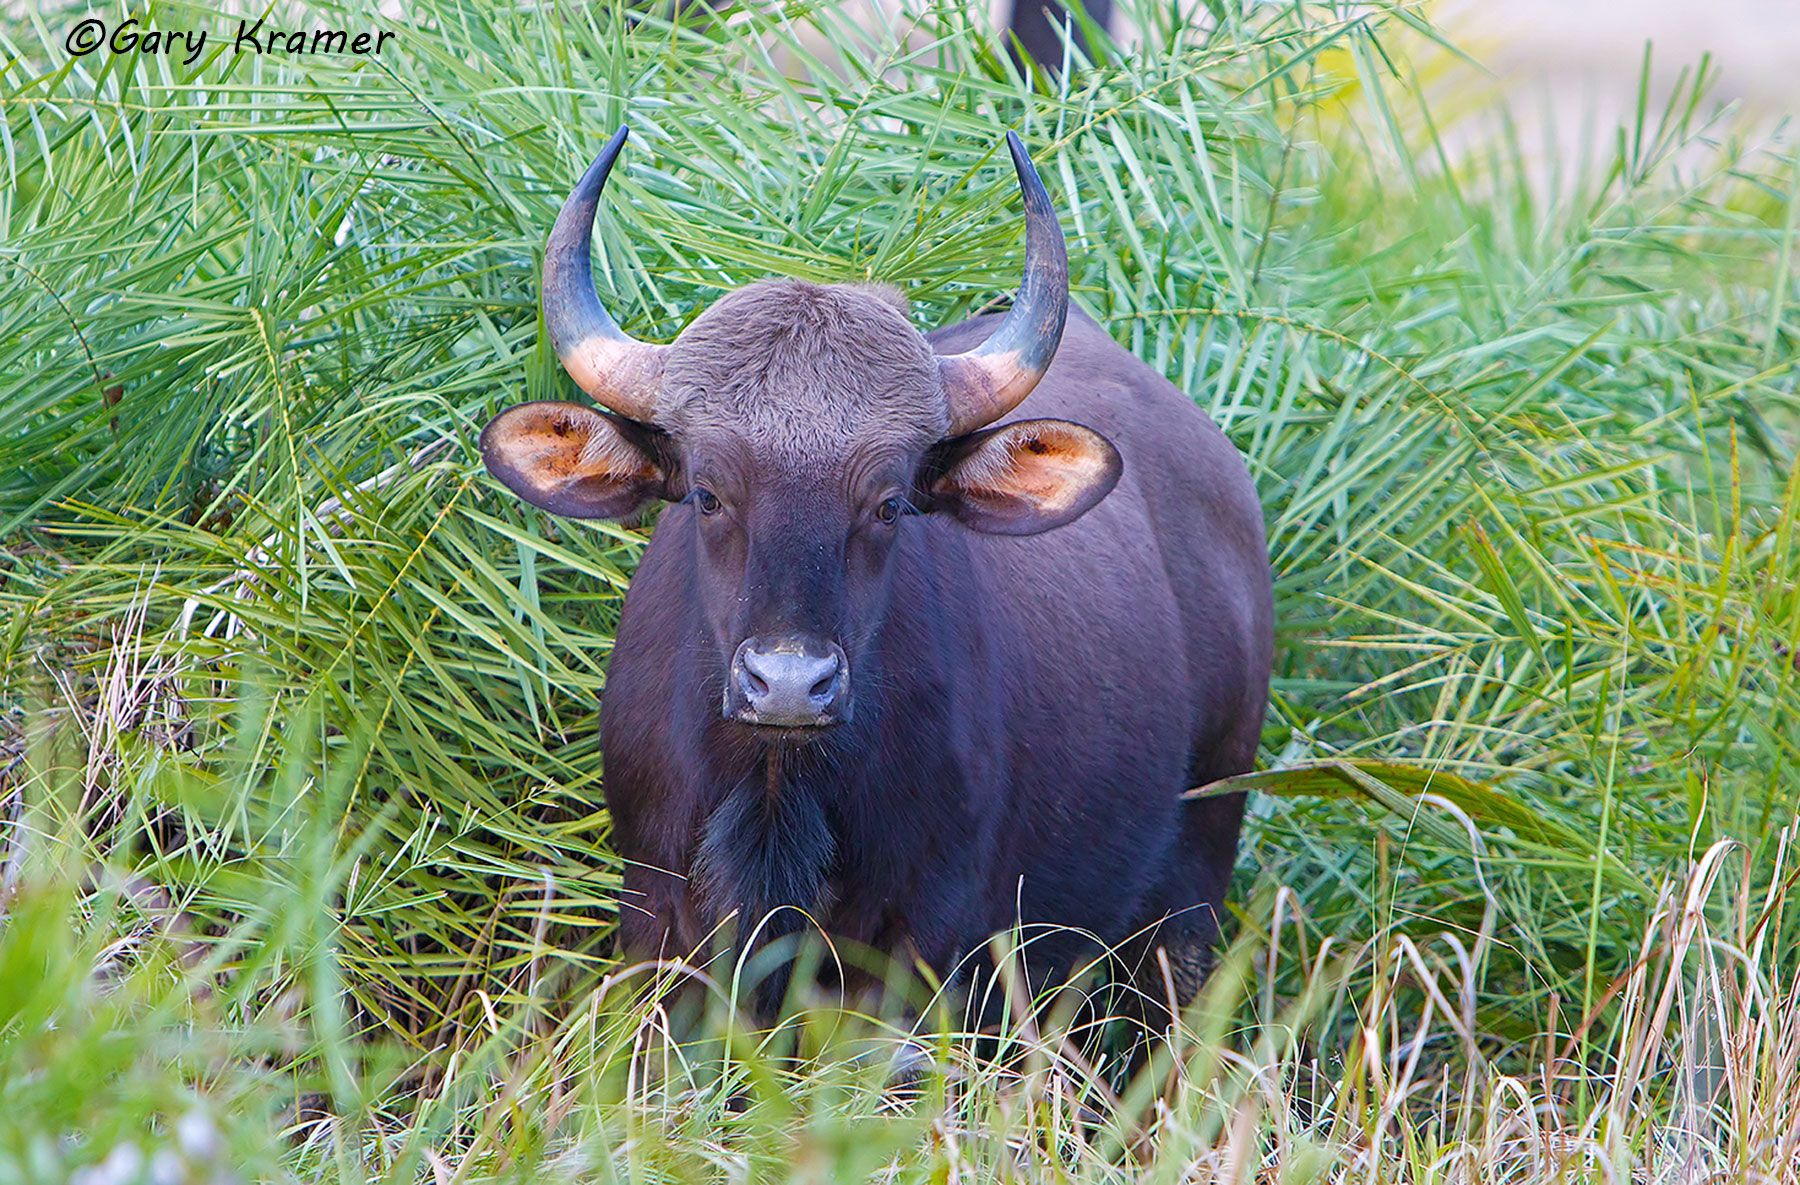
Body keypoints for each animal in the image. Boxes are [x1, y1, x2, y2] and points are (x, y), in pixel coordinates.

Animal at [480, 127, 1272, 1022]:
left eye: (889, 502)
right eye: (709, 493)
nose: (790, 684)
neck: (776, 796)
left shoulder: (919, 947)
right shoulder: (657, 921)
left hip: (1190, 886)